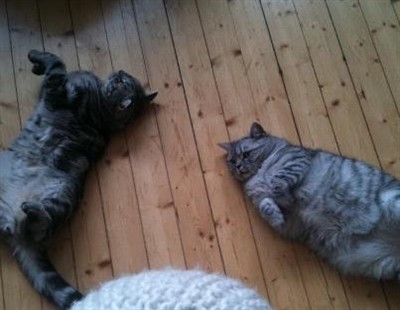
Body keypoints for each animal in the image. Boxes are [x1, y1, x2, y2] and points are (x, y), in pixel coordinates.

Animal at [0, 49, 157, 308]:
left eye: (122, 81)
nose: (119, 71)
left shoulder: (56, 90)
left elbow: (56, 64)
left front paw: (37, 57)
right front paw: (37, 66)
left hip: (62, 195)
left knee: (40, 226)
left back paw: (32, 213)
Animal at [219, 123, 400, 280]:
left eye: (246, 154)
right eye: (232, 161)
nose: (237, 167)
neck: (257, 175)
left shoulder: (295, 163)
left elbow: (277, 182)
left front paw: (285, 196)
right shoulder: (290, 221)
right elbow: (266, 205)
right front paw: (275, 215)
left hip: (391, 200)